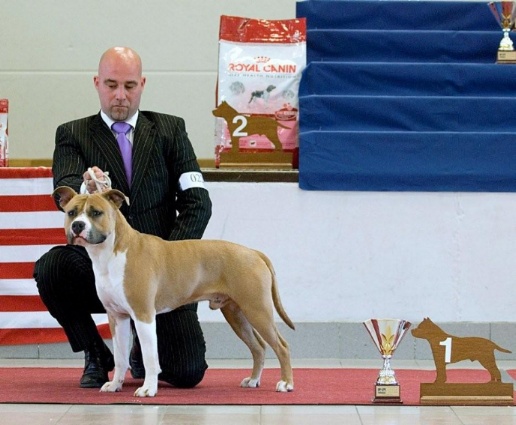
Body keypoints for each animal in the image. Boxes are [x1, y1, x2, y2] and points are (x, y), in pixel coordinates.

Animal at [53, 186, 295, 397]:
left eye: (96, 213)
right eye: (71, 212)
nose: (77, 226)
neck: (111, 252)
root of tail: (253, 252)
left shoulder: (143, 316)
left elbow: (150, 357)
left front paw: (148, 389)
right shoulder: (117, 317)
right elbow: (121, 358)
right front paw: (115, 385)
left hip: (257, 310)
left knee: (281, 346)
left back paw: (286, 383)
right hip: (236, 314)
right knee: (259, 347)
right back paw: (253, 380)